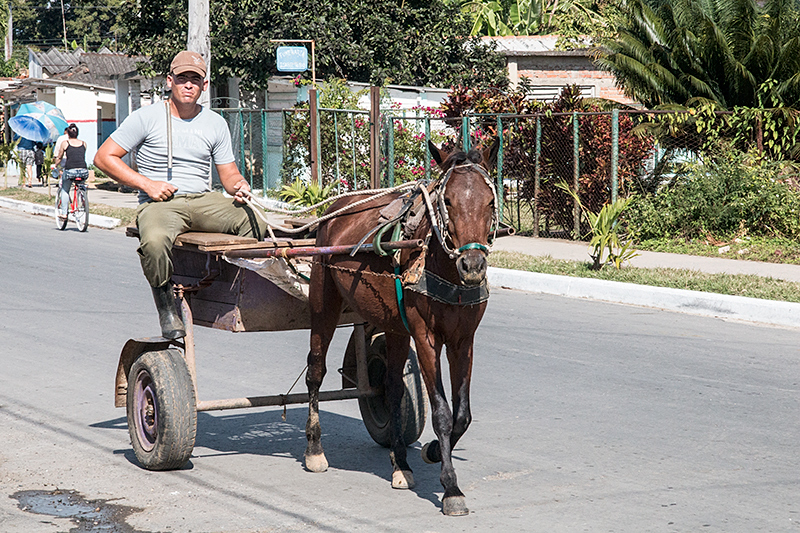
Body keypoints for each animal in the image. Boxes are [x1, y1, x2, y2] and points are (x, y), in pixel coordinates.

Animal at [304, 139, 496, 512]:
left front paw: (432, 451)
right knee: (315, 371)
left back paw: (400, 463)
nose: (472, 265)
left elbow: (462, 415)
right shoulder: (425, 338)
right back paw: (315, 450)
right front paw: (451, 488)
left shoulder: (464, 340)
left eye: (490, 201)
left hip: (393, 327)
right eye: (447, 201)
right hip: (324, 304)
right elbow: (442, 413)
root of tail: (336, 209)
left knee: (391, 387)